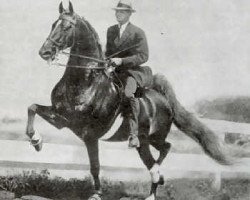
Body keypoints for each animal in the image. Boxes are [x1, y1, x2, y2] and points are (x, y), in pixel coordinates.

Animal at [26, 1, 243, 200]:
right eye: (53, 24)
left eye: (66, 27)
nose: (44, 52)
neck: (85, 81)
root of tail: (162, 98)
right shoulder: (62, 118)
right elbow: (32, 107)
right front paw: (36, 141)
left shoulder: (88, 133)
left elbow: (95, 166)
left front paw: (96, 194)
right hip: (149, 139)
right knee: (163, 150)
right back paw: (158, 179)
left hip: (149, 138)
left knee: (158, 156)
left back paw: (154, 184)